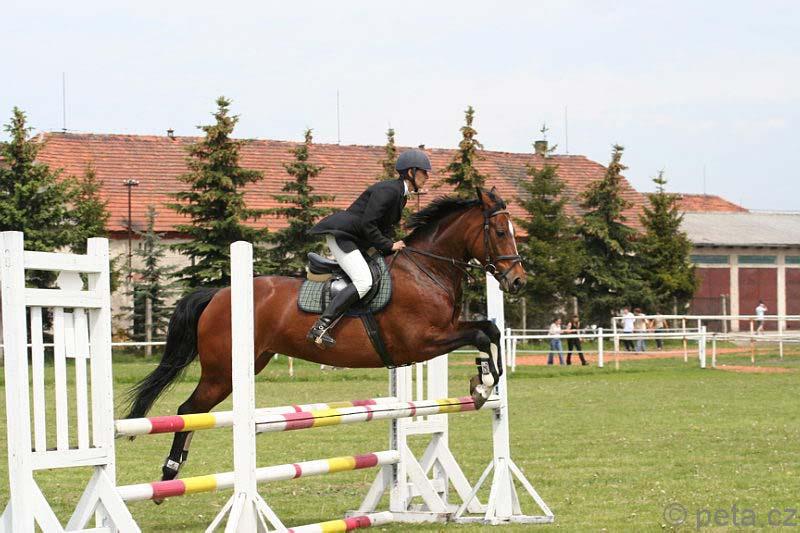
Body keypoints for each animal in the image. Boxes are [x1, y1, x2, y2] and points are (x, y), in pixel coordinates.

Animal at [125, 186, 526, 496]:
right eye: (500, 232)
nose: (517, 281)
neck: (426, 268)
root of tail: (219, 294)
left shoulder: (444, 329)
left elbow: (489, 330)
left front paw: (484, 381)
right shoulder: (421, 342)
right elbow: (479, 333)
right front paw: (482, 384)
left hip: (246, 364)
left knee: (195, 411)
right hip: (222, 372)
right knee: (188, 410)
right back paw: (169, 473)